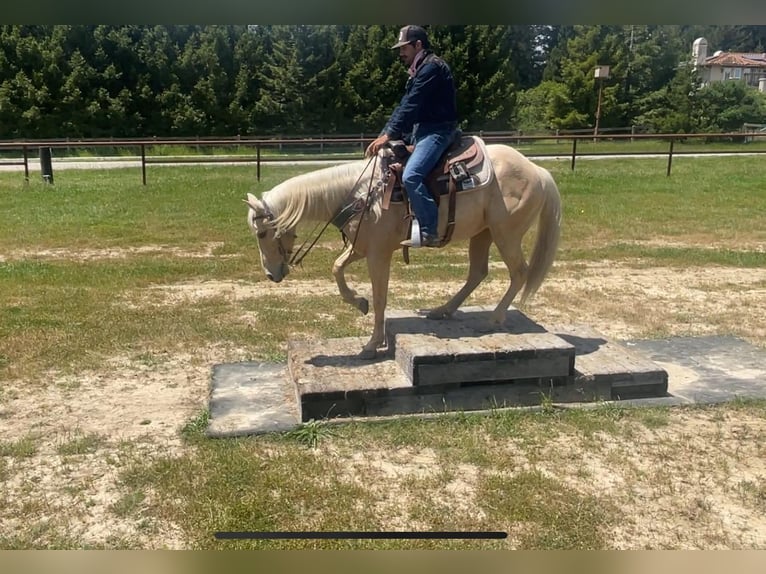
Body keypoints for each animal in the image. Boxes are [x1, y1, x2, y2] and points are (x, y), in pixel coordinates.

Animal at [246, 143, 564, 360]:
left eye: (261, 232)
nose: (270, 274)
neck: (361, 193)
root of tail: (536, 170)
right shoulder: (362, 247)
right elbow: (337, 268)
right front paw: (359, 303)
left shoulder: (378, 254)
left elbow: (380, 297)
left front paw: (372, 343)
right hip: (482, 234)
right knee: (478, 272)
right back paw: (442, 310)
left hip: (505, 234)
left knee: (519, 272)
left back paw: (494, 319)